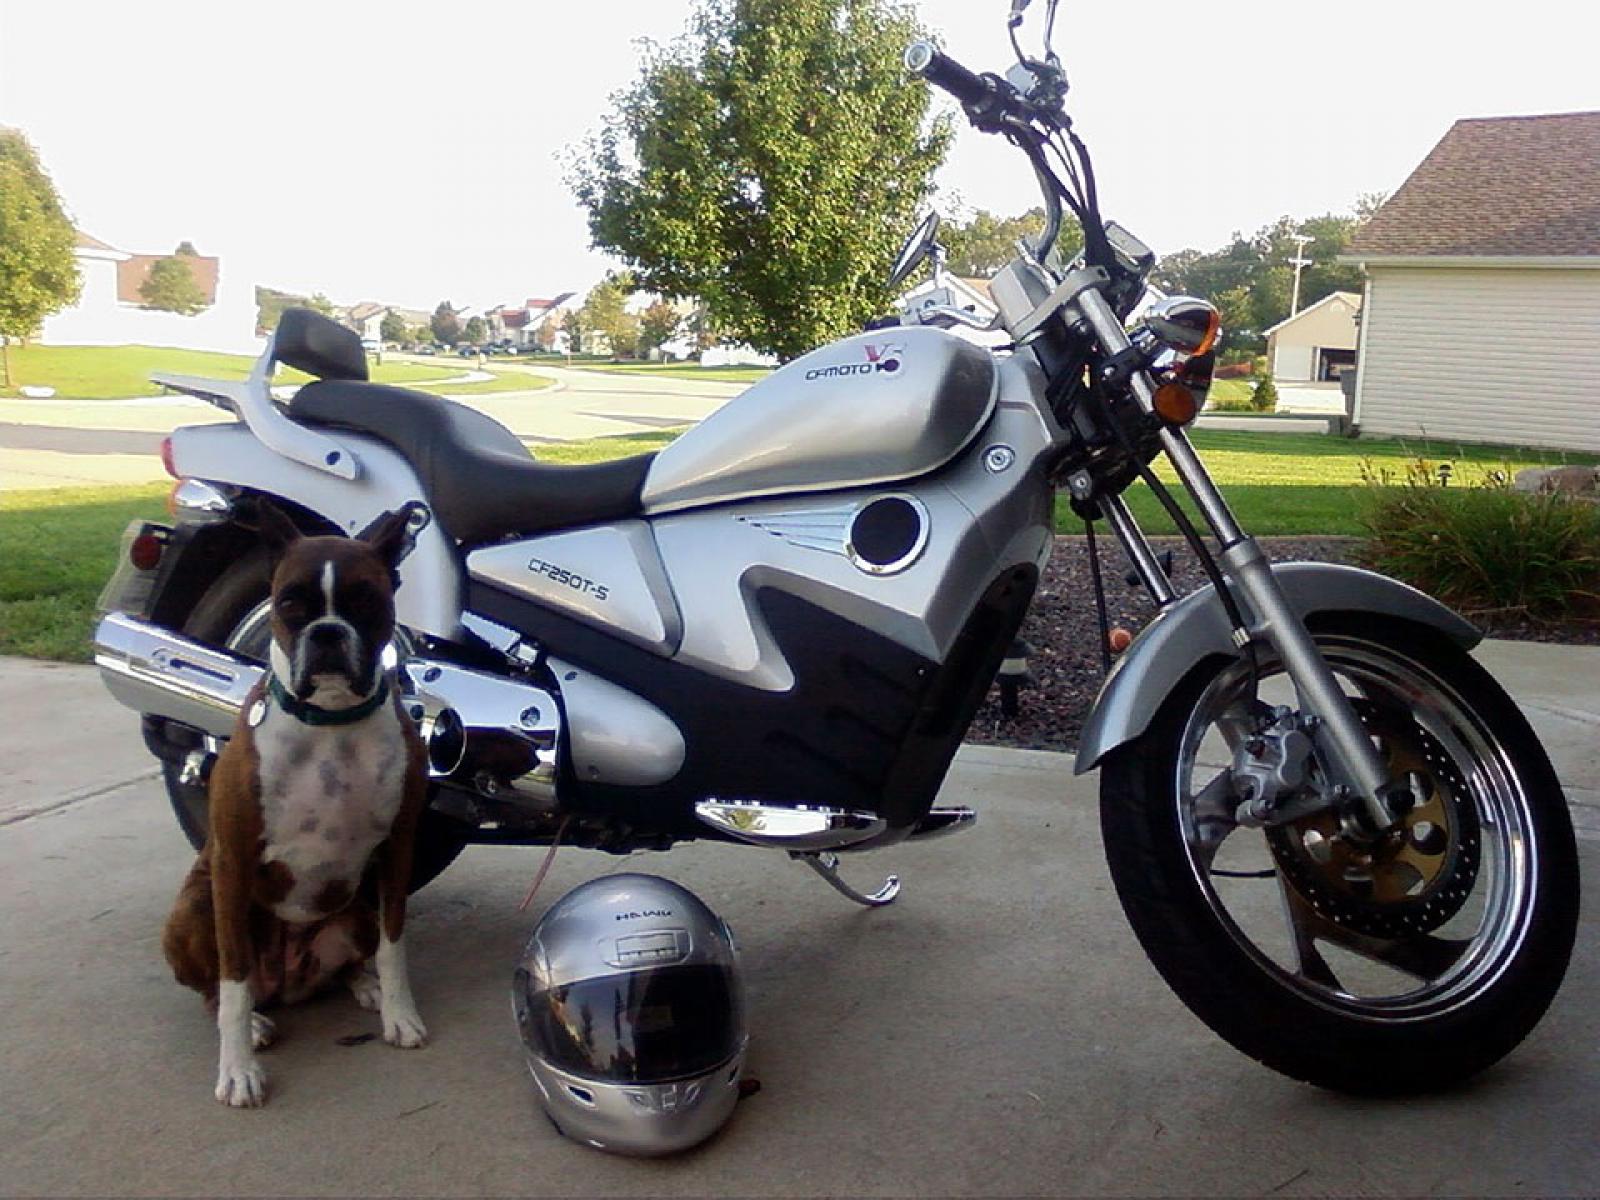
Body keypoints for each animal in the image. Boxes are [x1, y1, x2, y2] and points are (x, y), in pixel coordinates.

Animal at [162, 502, 429, 1107]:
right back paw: (257, 1023)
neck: (331, 720)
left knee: (352, 957)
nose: (327, 632)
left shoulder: (398, 849)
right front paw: (237, 1068)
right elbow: (234, 981)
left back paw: (364, 985)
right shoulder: (233, 862)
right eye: (288, 604)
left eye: (366, 600)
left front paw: (399, 1012)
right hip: (194, 908)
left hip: (355, 906)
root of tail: (286, 980)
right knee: (218, 990)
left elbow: (395, 944)